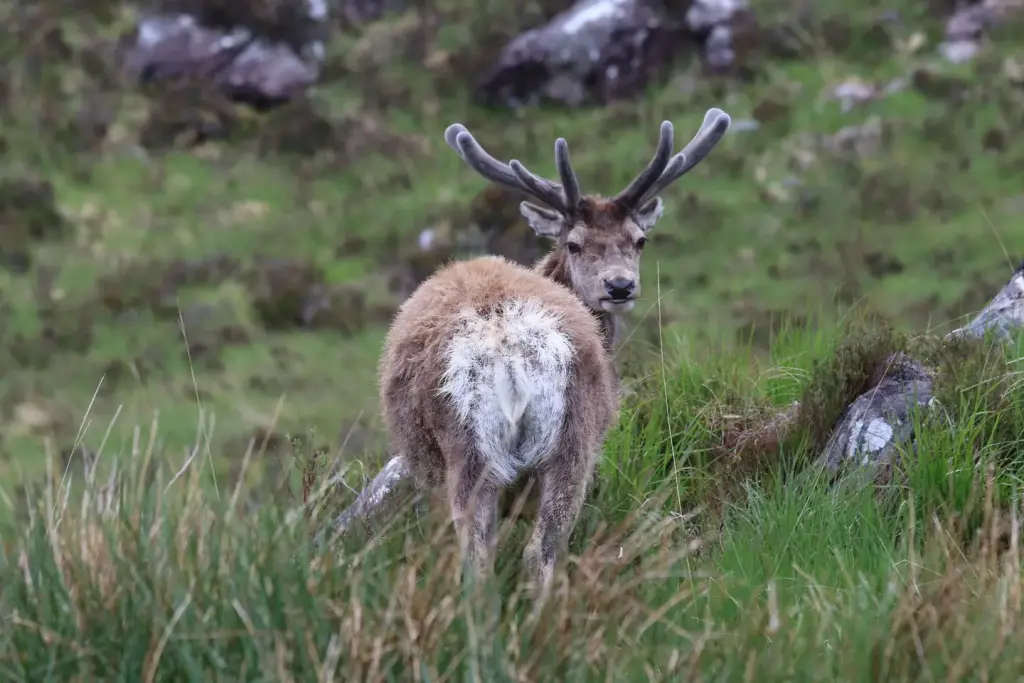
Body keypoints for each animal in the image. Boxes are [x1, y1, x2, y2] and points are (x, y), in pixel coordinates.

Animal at [318, 108, 732, 607]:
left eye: (639, 240)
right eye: (574, 243)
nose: (620, 286)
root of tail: (508, 346)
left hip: (475, 451)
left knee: (483, 560)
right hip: (571, 440)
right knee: (539, 550)